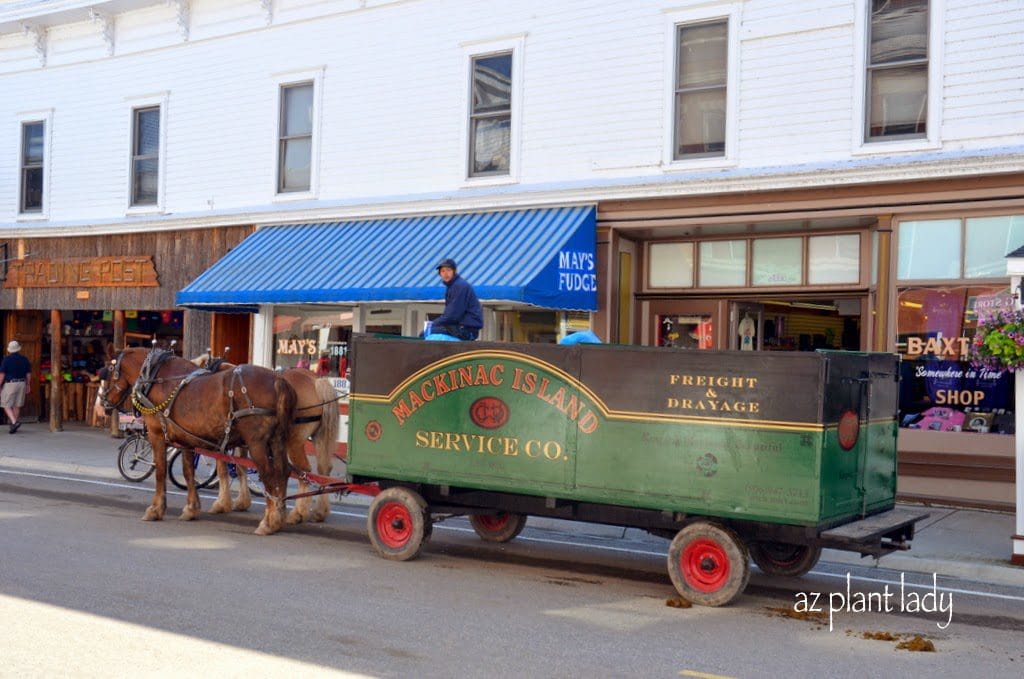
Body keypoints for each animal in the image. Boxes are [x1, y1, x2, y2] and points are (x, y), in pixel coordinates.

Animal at [98, 350, 296, 536]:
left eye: (108, 371)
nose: (103, 404)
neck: (158, 378)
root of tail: (278, 379)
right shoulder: (186, 440)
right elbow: (188, 473)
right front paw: (191, 509)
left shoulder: (157, 435)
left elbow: (160, 472)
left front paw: (155, 509)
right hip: (277, 440)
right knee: (283, 472)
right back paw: (279, 516)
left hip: (256, 443)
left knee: (268, 474)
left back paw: (268, 522)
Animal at [193, 356, 346, 524]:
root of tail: (315, 381)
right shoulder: (245, 441)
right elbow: (241, 467)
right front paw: (242, 501)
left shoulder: (223, 441)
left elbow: (223, 469)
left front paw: (221, 503)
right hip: (319, 438)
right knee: (324, 470)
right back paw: (319, 511)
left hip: (294, 441)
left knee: (304, 471)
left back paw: (298, 513)